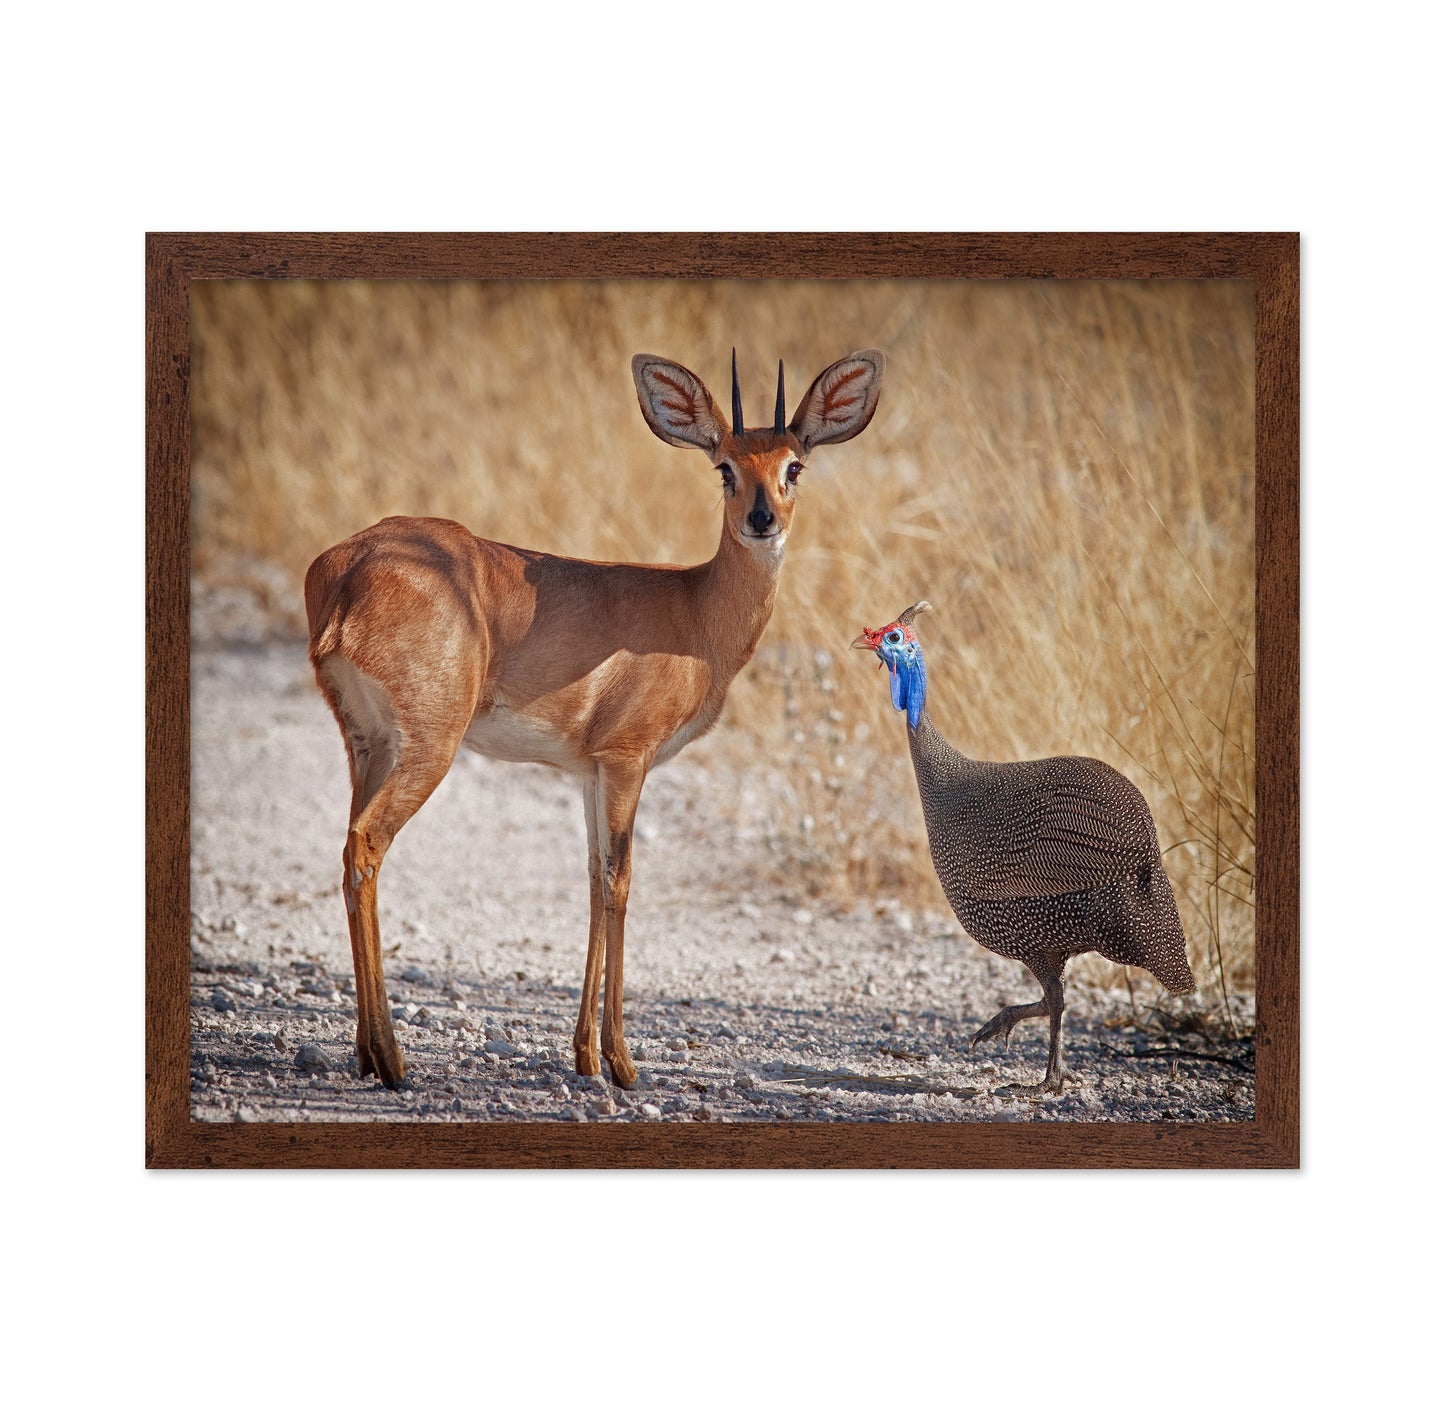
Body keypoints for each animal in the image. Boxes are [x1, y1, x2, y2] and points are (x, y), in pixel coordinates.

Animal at [304, 348, 885, 1088]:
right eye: (725, 465)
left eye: (794, 466)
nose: (762, 519)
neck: (695, 613)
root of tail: (348, 568)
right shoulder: (627, 760)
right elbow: (620, 880)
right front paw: (622, 1060)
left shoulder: (587, 770)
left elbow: (589, 878)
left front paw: (584, 1054)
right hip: (429, 746)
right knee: (365, 845)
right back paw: (391, 1057)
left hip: (368, 742)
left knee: (348, 846)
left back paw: (363, 1051)